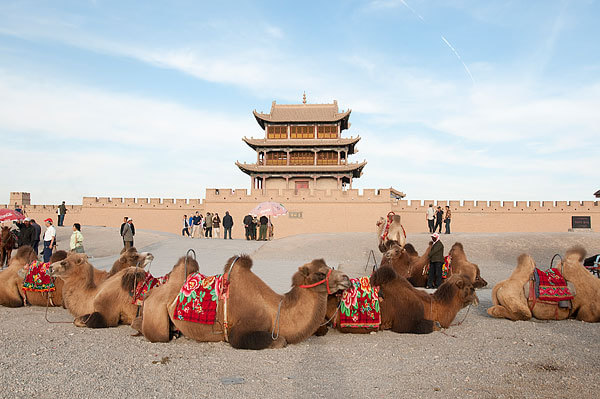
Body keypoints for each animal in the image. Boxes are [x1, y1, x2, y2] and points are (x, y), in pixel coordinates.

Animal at [138, 256, 350, 350]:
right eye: (320, 273)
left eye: (329, 267)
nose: (346, 278)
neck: (275, 311)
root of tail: (151, 292)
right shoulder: (239, 332)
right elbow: (280, 340)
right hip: (156, 318)